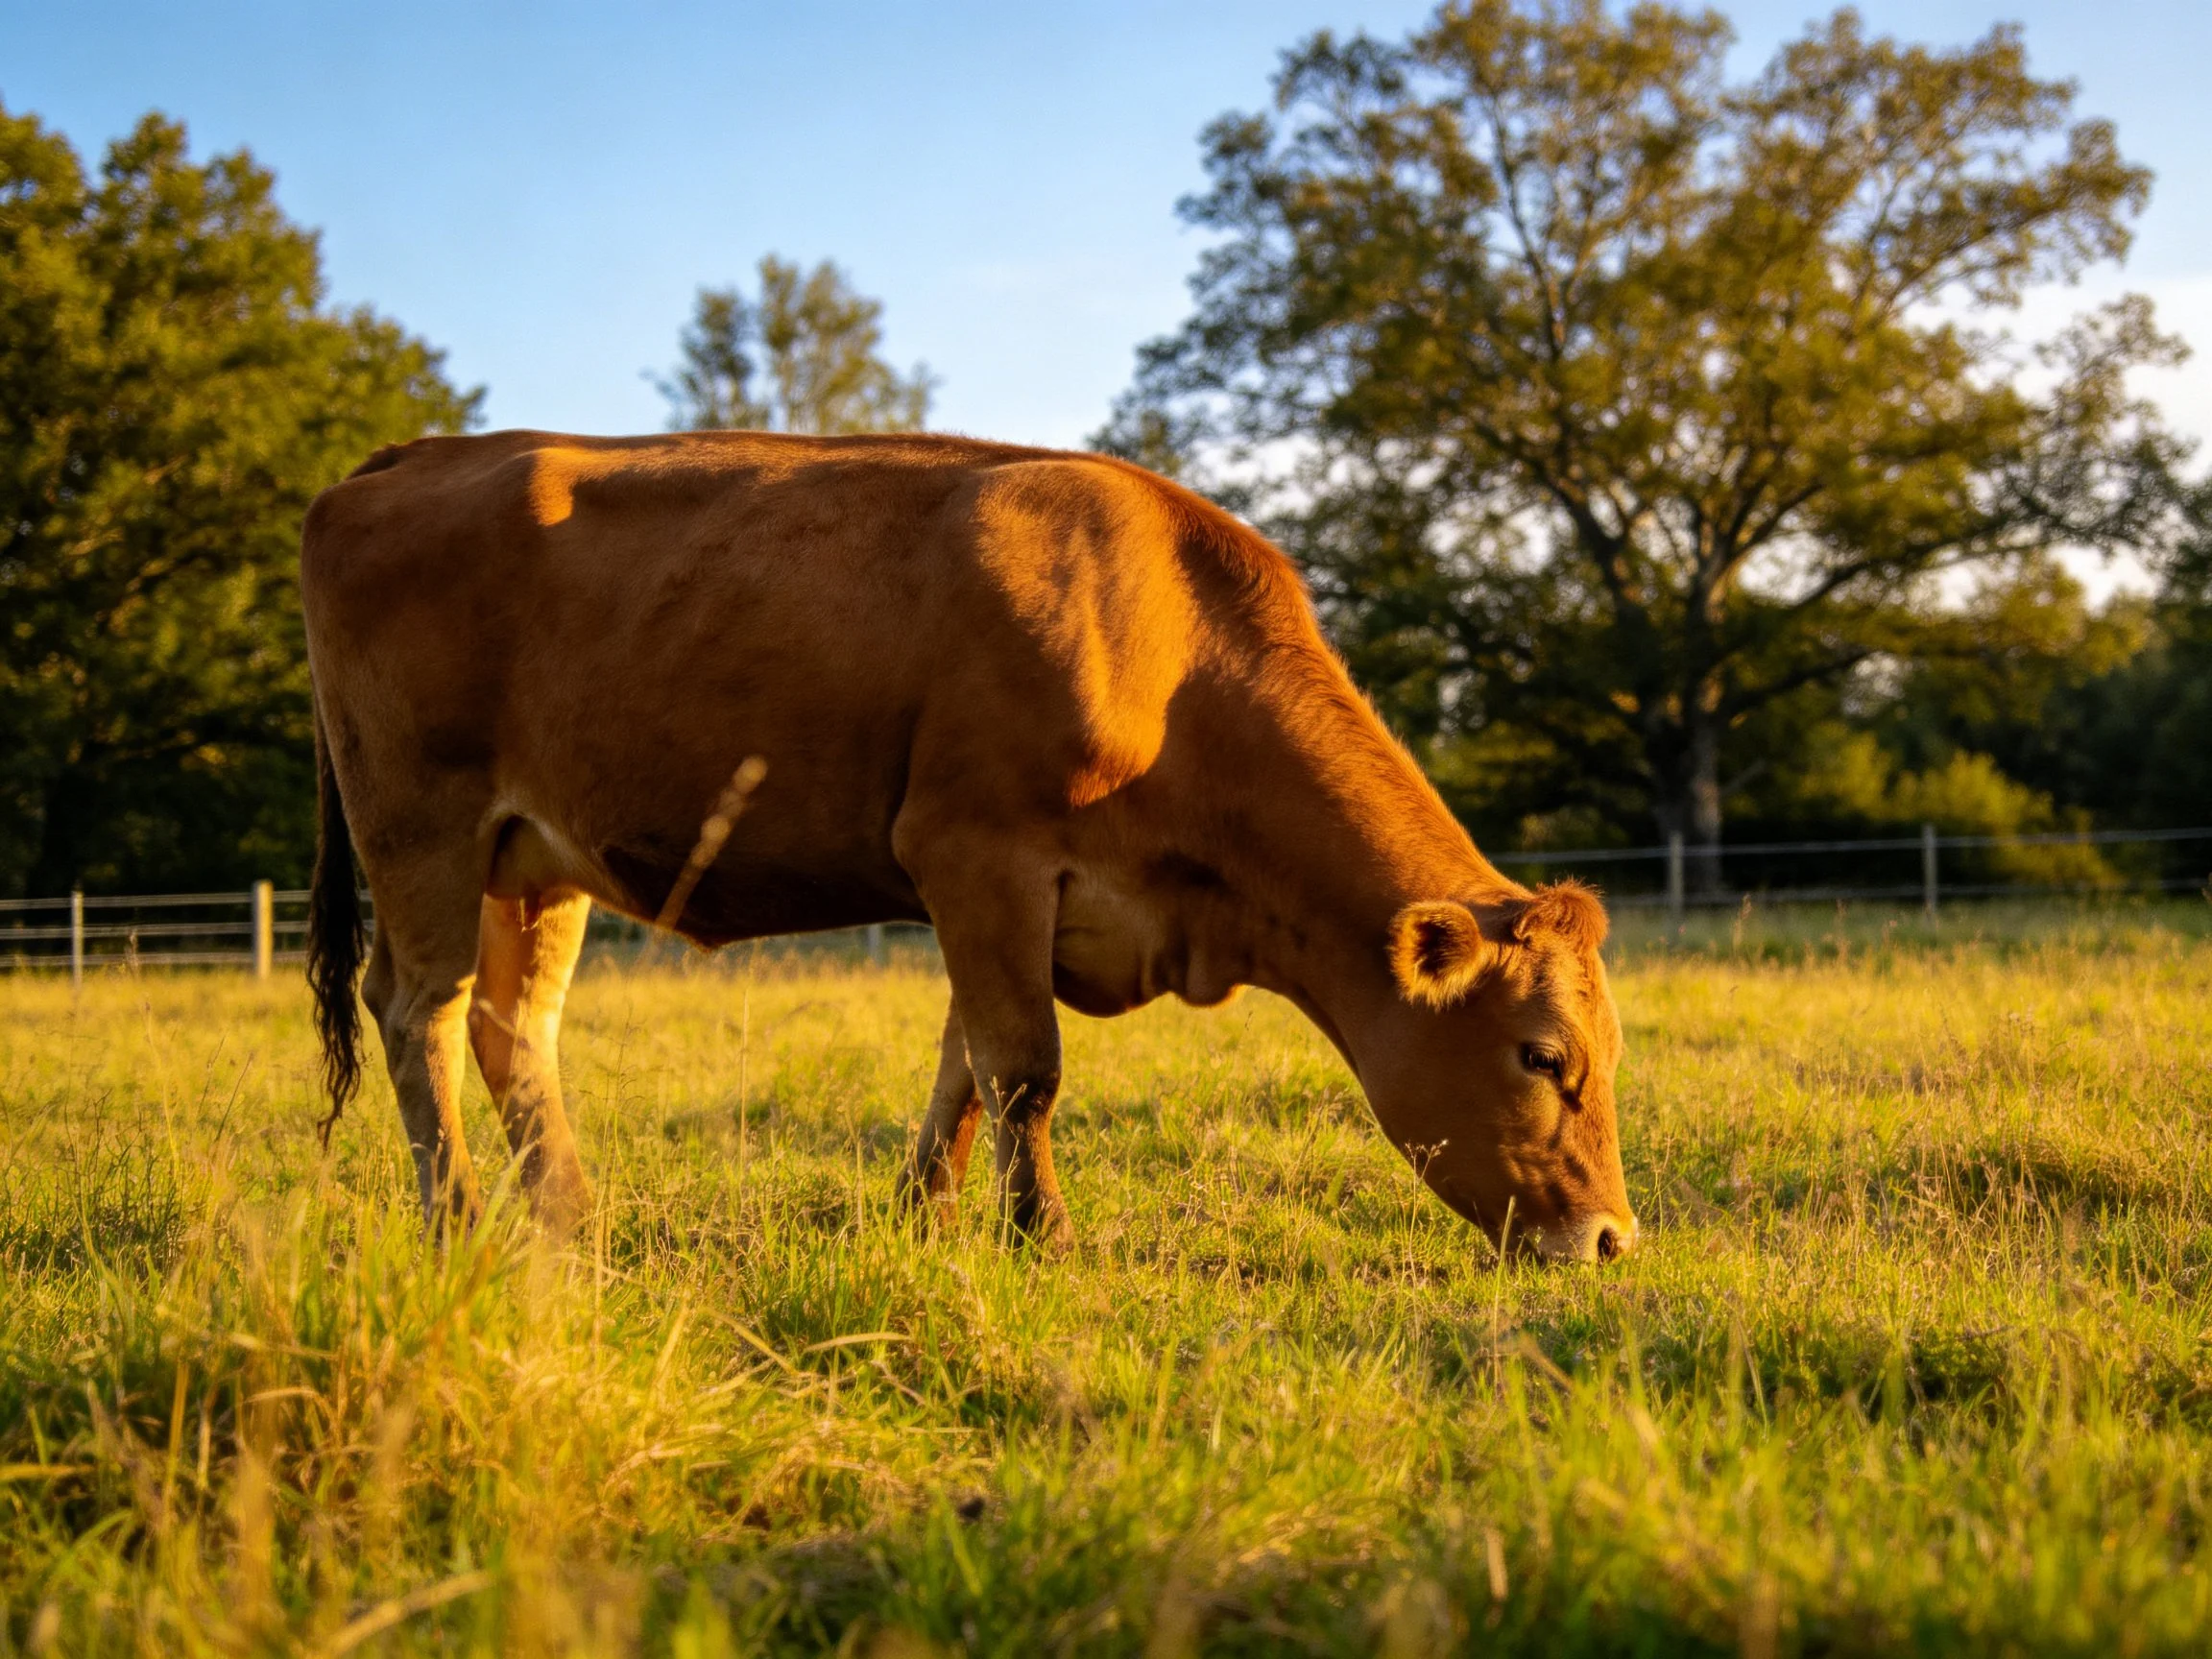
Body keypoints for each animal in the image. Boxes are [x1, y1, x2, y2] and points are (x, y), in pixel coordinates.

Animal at [300, 430, 1637, 1263]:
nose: (1615, 1237)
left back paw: (571, 1218)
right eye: (1544, 1057)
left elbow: (961, 1067)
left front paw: (923, 1218)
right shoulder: (977, 853)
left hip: (535, 859)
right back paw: (459, 1218)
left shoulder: (1007, 897)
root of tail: (414, 455)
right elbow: (1022, 1067)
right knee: (416, 1010)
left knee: (510, 1023)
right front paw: (1040, 1237)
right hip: (419, 828)